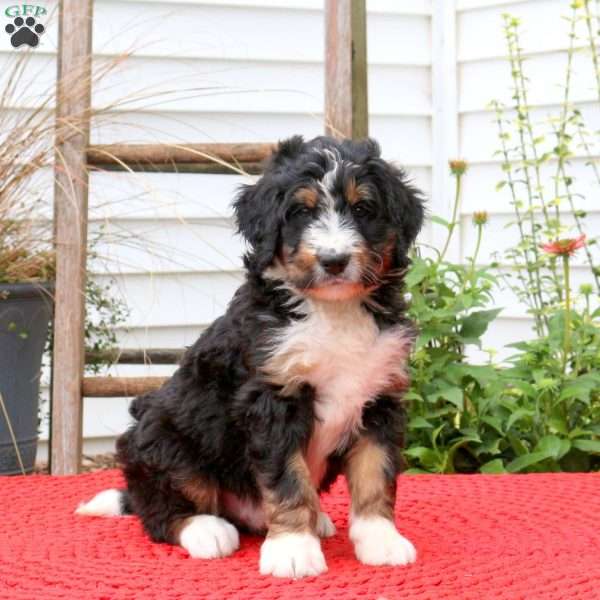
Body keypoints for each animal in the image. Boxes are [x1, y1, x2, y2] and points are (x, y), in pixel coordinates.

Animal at [77, 135, 424, 576]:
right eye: (301, 212)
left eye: (363, 209)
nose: (334, 260)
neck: (333, 311)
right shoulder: (271, 399)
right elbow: (288, 479)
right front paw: (294, 549)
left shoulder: (379, 398)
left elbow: (375, 475)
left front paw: (381, 540)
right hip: (161, 437)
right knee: (161, 511)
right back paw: (206, 529)